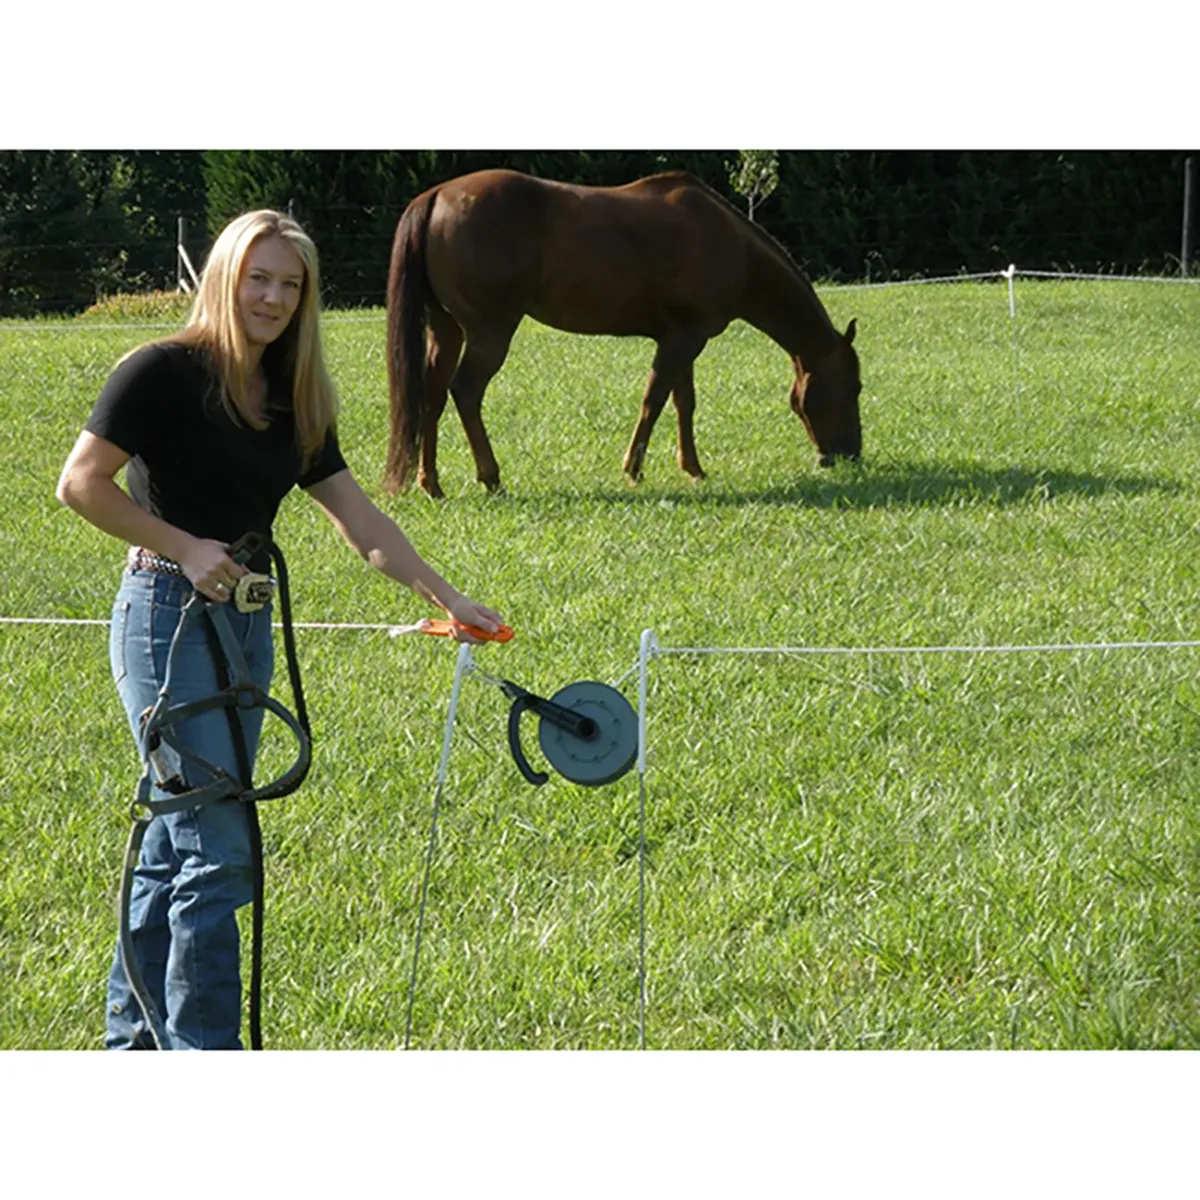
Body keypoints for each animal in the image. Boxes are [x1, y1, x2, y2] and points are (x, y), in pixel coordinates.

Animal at [383, 168, 862, 498]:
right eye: (855, 387)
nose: (848, 456)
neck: (730, 244)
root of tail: (435, 196)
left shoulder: (683, 338)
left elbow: (683, 403)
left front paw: (693, 468)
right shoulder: (682, 340)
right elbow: (655, 400)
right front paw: (634, 468)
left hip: (446, 333)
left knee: (431, 397)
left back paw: (431, 484)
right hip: (490, 331)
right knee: (465, 392)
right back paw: (491, 477)